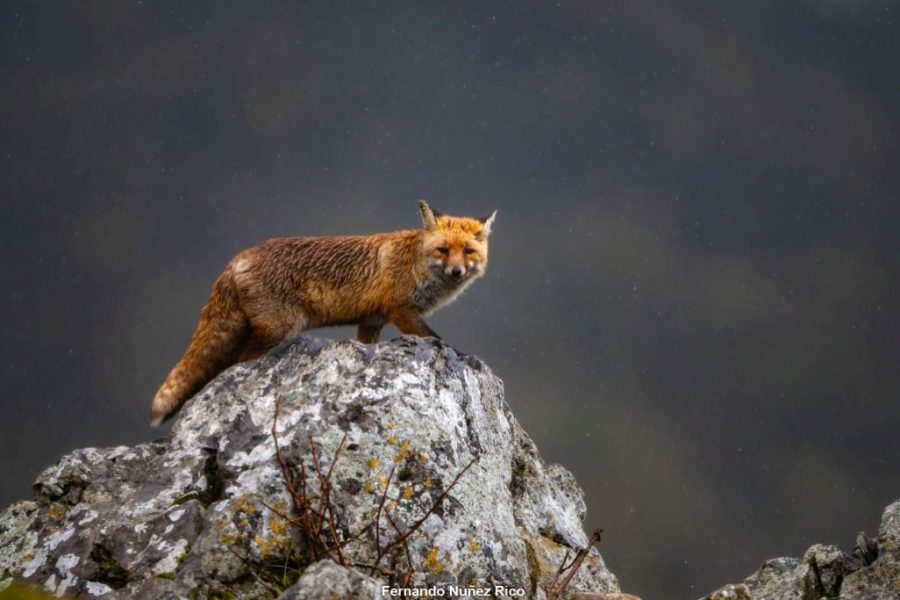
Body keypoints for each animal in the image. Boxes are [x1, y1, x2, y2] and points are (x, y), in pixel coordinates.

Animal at [149, 200, 496, 425]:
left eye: (468, 251)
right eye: (443, 250)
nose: (456, 271)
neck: (416, 262)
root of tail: (236, 260)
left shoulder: (372, 321)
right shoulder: (400, 309)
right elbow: (436, 339)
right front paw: (459, 357)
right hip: (277, 330)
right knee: (237, 365)